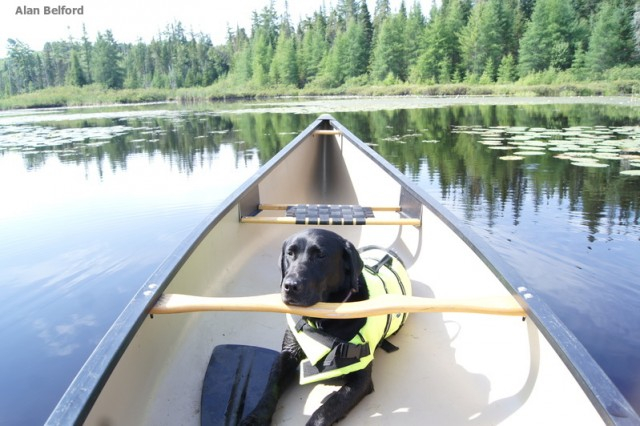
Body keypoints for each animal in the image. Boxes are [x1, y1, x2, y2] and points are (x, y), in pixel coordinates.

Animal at [242, 230, 408, 426]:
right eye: (290, 253)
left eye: (320, 255)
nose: (290, 286)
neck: (321, 320)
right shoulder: (287, 353)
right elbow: (270, 387)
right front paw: (255, 417)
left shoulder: (361, 378)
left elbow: (328, 408)